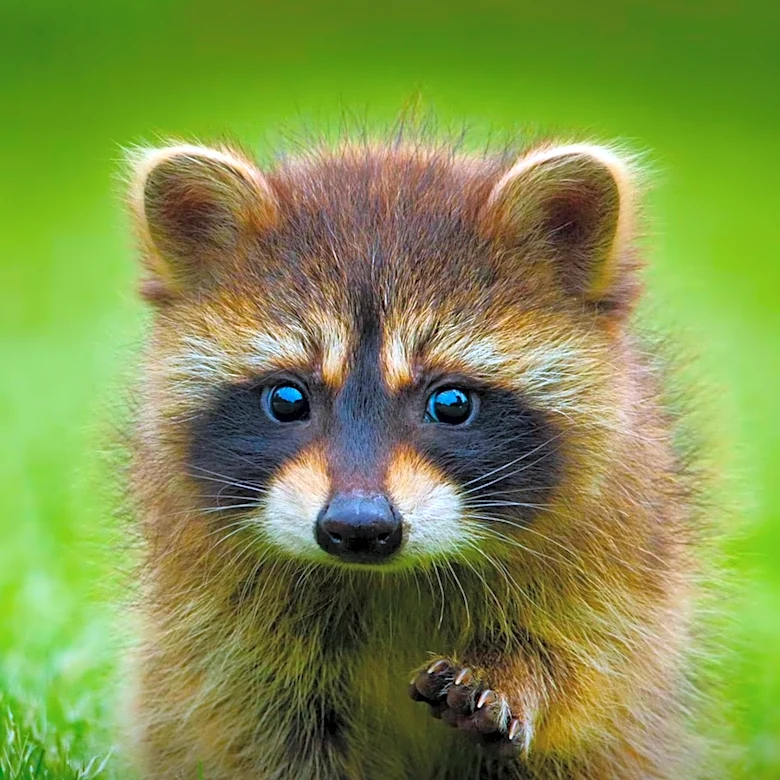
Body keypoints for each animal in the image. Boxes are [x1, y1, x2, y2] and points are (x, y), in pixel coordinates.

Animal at [124, 131, 698, 779]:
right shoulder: (217, 628)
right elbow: (257, 728)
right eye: (287, 399)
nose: (358, 526)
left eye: (451, 402)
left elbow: (591, 671)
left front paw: (519, 674)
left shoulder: (616, 561)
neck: (388, 579)